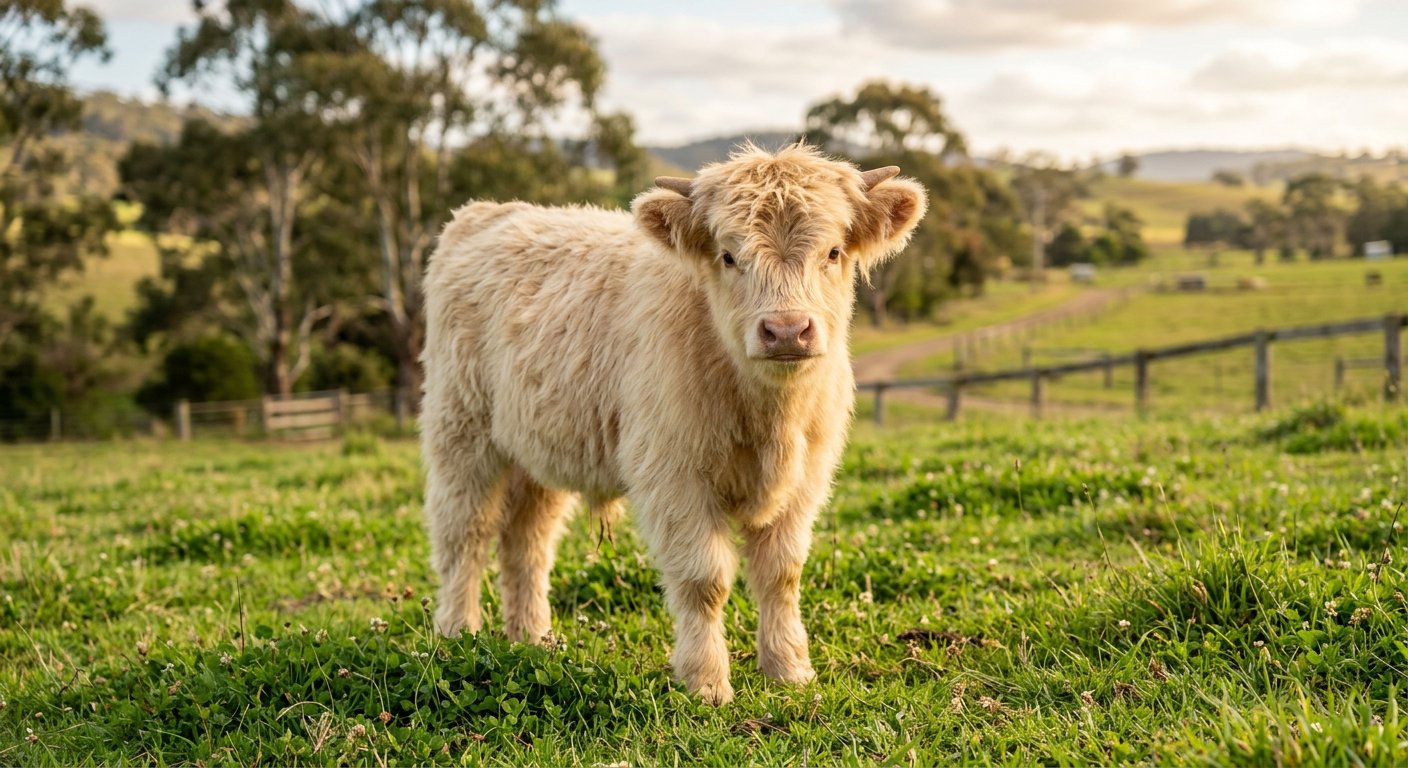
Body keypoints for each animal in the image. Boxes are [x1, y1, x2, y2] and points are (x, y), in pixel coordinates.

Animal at [420, 143, 926, 704]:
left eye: (834, 252)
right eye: (729, 255)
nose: (786, 330)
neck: (768, 416)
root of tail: (485, 212)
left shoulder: (806, 479)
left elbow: (781, 573)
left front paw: (789, 670)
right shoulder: (674, 475)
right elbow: (704, 579)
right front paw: (706, 683)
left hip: (535, 452)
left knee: (526, 543)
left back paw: (532, 640)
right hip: (461, 431)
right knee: (464, 534)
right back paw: (457, 636)